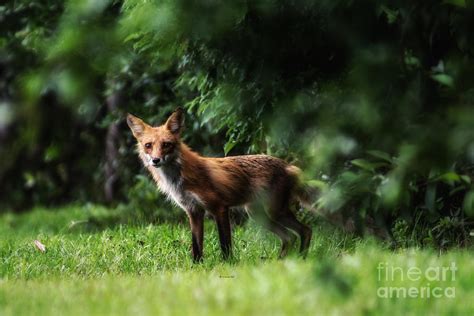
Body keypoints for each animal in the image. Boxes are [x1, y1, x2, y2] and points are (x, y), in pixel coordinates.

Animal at [127, 108, 312, 262]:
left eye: (166, 144)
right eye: (148, 145)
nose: (155, 160)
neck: (178, 179)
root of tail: (288, 165)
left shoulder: (220, 208)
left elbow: (225, 243)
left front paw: (227, 264)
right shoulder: (194, 211)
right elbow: (196, 245)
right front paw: (197, 266)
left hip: (274, 211)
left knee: (304, 231)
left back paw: (301, 260)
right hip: (258, 215)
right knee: (290, 236)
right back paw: (282, 262)